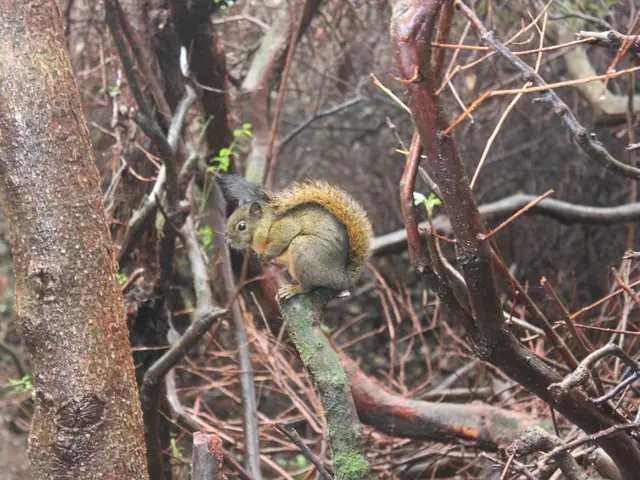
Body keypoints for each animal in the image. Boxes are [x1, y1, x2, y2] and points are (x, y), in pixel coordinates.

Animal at [220, 174, 373, 300]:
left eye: (242, 226)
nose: (226, 241)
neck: (266, 222)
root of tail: (342, 278)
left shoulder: (285, 228)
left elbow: (281, 240)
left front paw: (265, 256)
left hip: (304, 249)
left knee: (309, 287)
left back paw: (293, 289)